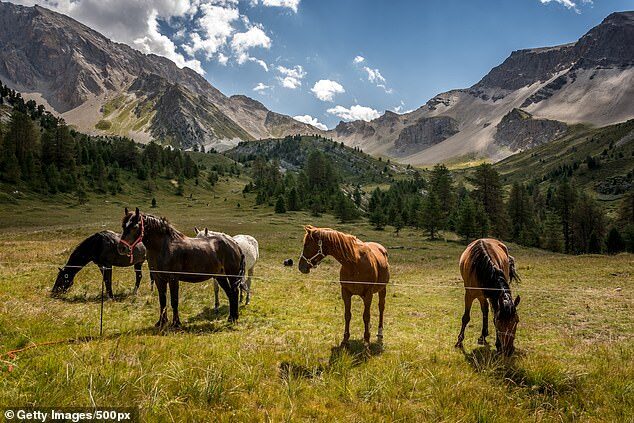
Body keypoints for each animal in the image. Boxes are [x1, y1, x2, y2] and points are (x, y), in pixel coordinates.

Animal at [116, 207, 244, 326]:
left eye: (135, 226)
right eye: (123, 226)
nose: (122, 248)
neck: (163, 247)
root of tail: (234, 244)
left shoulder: (173, 279)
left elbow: (174, 301)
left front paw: (176, 323)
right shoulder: (159, 278)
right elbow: (162, 300)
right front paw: (161, 322)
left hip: (232, 275)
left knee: (234, 293)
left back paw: (234, 318)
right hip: (220, 276)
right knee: (231, 294)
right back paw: (231, 318)